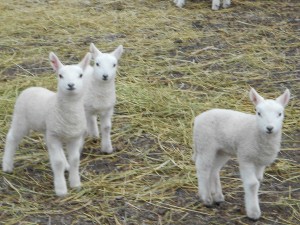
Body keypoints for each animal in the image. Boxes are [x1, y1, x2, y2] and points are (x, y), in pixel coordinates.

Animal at [2, 51, 91, 196]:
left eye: (80, 75)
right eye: (60, 75)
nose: (71, 85)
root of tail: (31, 87)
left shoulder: (74, 137)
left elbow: (75, 160)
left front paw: (76, 184)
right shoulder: (54, 135)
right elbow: (58, 162)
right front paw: (61, 190)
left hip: (47, 128)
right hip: (21, 119)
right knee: (12, 138)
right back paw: (7, 166)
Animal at [192, 88, 290, 220]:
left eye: (280, 114)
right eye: (259, 113)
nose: (269, 128)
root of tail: (198, 118)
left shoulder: (260, 162)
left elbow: (258, 180)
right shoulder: (246, 157)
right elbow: (252, 184)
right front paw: (253, 213)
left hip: (222, 150)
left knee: (214, 169)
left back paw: (217, 196)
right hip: (205, 144)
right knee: (203, 168)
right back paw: (206, 198)